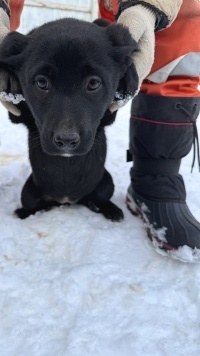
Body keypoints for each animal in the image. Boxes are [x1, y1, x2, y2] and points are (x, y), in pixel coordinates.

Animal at [0, 18, 138, 220]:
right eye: (41, 82)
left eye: (94, 83)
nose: (66, 141)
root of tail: (66, 201)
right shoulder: (20, 116)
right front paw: (7, 78)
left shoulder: (106, 117)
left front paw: (130, 75)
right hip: (29, 192)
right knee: (35, 204)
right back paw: (26, 212)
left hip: (106, 183)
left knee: (97, 198)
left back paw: (110, 210)